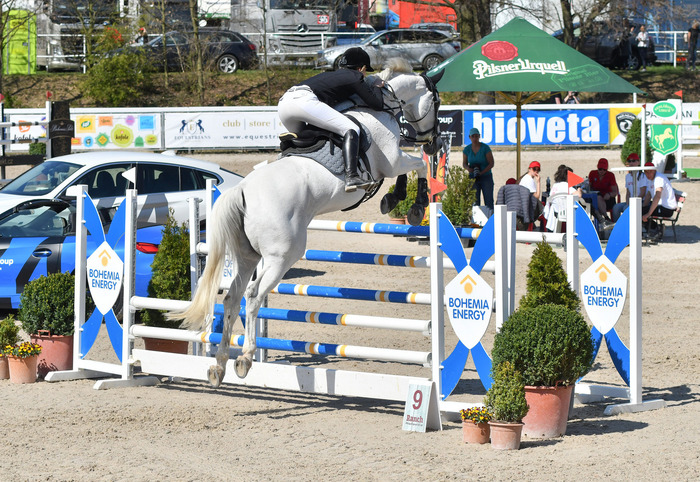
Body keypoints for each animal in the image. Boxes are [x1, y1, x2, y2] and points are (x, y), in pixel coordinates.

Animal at [168, 58, 444, 386]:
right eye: (437, 102)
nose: (435, 142)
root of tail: (242, 190)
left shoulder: (392, 162)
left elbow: (411, 169)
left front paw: (394, 199)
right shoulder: (391, 161)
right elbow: (418, 166)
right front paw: (414, 205)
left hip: (248, 256)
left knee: (232, 298)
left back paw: (219, 366)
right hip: (283, 254)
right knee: (253, 295)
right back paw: (245, 359)